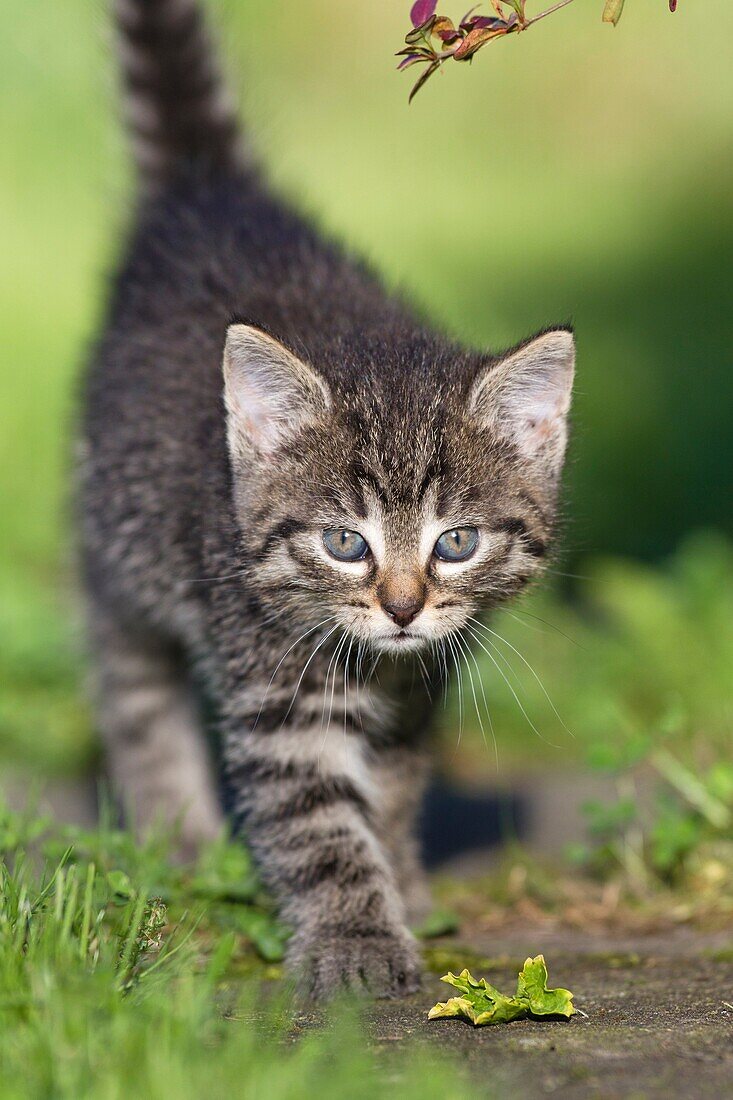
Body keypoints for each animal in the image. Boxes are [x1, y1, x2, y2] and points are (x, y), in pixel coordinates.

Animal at [78, 0, 572, 998]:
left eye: (455, 542)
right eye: (346, 543)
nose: (402, 607)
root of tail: (210, 196)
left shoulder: (420, 684)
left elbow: (392, 790)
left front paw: (404, 886)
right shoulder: (275, 683)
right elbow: (316, 821)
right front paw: (354, 939)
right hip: (121, 538)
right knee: (132, 685)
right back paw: (178, 838)